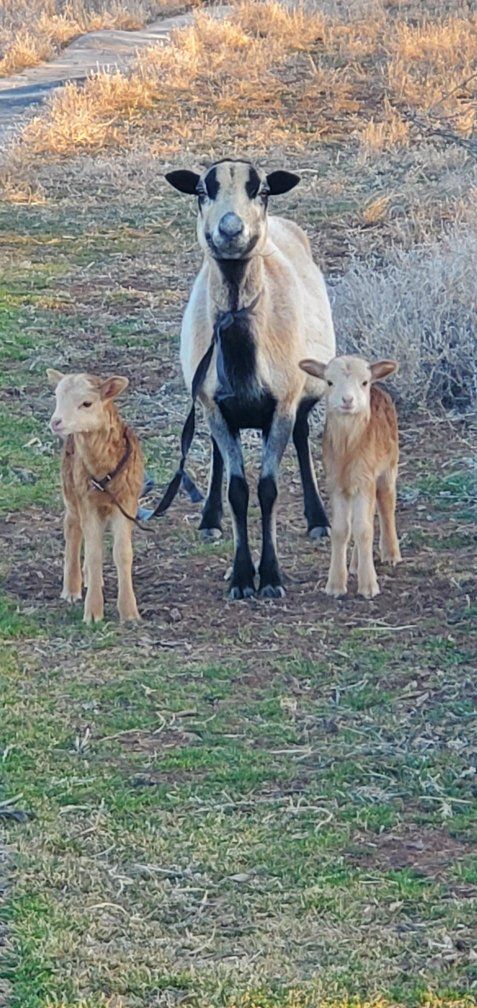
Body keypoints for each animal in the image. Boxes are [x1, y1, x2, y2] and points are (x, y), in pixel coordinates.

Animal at [47, 369, 143, 623]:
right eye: (56, 396)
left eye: (87, 403)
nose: (55, 422)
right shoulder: (86, 501)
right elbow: (93, 553)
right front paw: (92, 612)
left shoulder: (127, 502)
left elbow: (122, 553)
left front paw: (129, 613)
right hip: (70, 489)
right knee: (72, 528)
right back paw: (72, 588)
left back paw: (92, 580)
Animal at [165, 158, 335, 599]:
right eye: (201, 191)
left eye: (261, 191)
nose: (230, 230)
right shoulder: (216, 407)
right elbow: (238, 490)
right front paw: (243, 577)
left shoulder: (282, 406)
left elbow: (268, 490)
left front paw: (271, 576)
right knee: (214, 450)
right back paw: (209, 520)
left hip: (303, 393)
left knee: (302, 437)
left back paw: (318, 520)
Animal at [299, 355, 401, 599]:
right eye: (329, 382)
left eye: (363, 382)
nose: (347, 400)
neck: (348, 450)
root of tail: (379, 388)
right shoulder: (337, 484)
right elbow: (341, 529)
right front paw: (335, 585)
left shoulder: (366, 480)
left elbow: (364, 529)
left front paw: (369, 586)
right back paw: (355, 565)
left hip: (389, 466)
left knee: (386, 505)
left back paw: (391, 553)